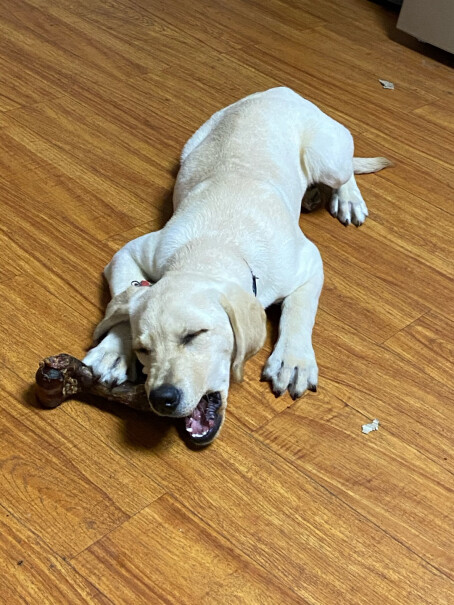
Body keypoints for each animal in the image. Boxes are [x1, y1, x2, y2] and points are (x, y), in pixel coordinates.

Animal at [84, 86, 390, 444]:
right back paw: (312, 194)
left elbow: (300, 310)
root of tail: (282, 91)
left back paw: (347, 199)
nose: (162, 398)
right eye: (143, 348)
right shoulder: (131, 252)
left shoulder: (308, 262)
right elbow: (126, 295)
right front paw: (113, 352)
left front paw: (293, 360)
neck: (215, 246)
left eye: (195, 334)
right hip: (191, 147)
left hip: (327, 157)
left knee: (345, 173)